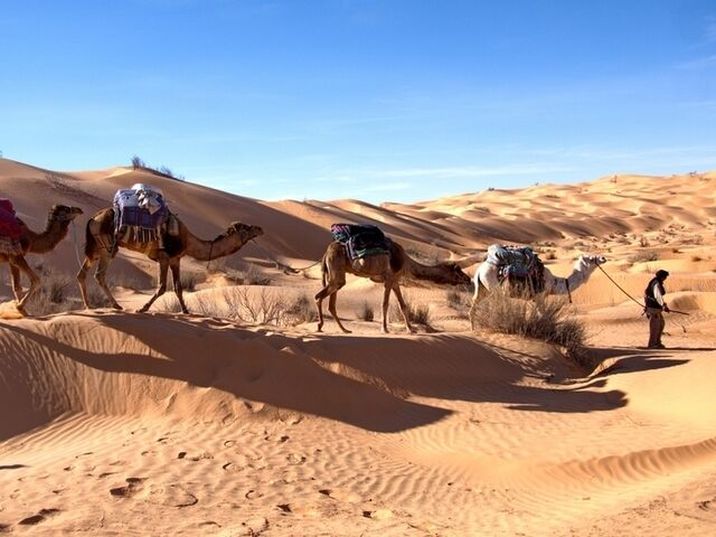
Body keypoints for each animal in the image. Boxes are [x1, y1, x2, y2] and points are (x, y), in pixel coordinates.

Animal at [472, 244, 608, 328]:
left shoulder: (535, 298)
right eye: (591, 258)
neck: (554, 283)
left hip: (482, 287)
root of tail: (480, 270)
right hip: (495, 289)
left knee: (475, 302)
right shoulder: (540, 296)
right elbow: (542, 315)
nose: (603, 258)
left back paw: (474, 328)